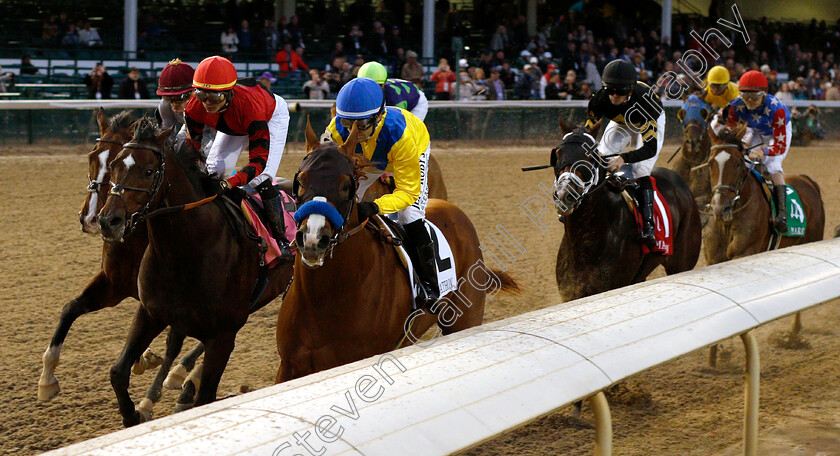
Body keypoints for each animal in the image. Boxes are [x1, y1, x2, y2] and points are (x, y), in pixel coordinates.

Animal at [40, 108, 203, 416]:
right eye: (92, 156)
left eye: (115, 162)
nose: (92, 218)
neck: (135, 239)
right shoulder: (113, 285)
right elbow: (70, 309)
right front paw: (47, 379)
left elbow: (168, 339)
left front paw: (147, 373)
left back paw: (182, 377)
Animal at [97, 118, 296, 428]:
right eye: (116, 164)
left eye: (149, 171)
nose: (109, 221)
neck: (186, 250)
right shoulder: (152, 313)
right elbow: (118, 372)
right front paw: (133, 415)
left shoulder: (223, 332)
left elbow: (206, 397)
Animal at [274, 120, 520, 382]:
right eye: (300, 181)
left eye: (346, 186)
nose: (312, 239)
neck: (324, 300)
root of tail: (455, 210)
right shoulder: (289, 367)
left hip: (465, 319)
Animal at [552, 124, 704, 302]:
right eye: (558, 154)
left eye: (589, 155)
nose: (564, 194)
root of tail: (681, 183)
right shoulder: (571, 294)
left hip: (682, 263)